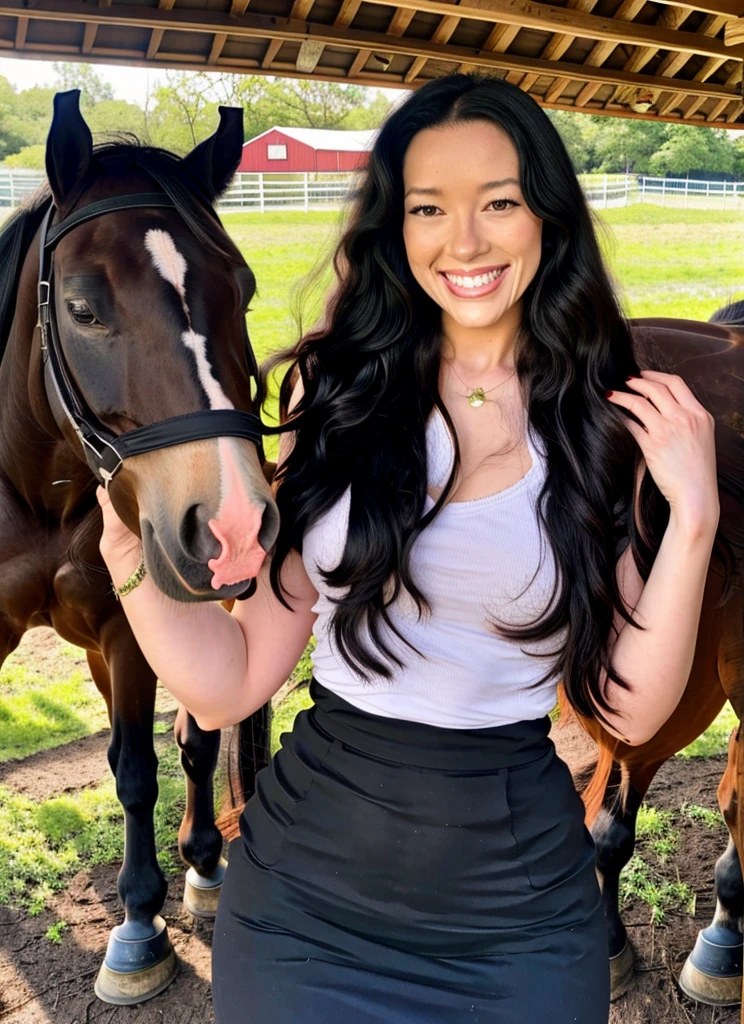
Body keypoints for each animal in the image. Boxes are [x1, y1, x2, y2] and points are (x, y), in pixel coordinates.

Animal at [0, 92, 278, 1003]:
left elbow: (136, 766)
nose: (233, 526)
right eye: (84, 308)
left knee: (201, 735)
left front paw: (139, 922)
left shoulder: (131, 631)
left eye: (244, 288)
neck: (41, 489)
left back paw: (204, 863)